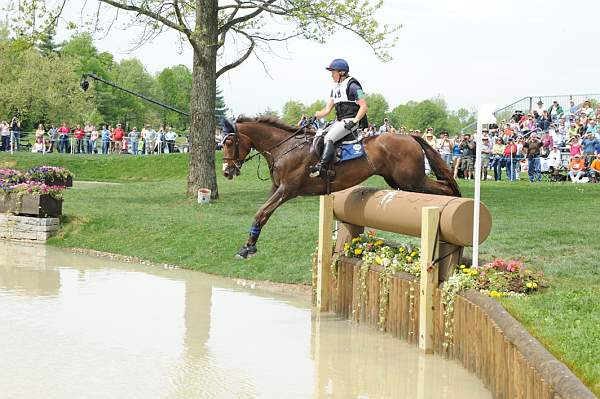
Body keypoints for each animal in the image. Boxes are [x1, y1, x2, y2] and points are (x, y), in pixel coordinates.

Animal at [223, 116, 462, 260]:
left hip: (411, 181)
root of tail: (410, 137)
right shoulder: (276, 188)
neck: (285, 148)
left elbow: (262, 213)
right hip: (399, 181)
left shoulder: (287, 190)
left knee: (445, 187)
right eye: (223, 142)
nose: (226, 171)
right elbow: (261, 213)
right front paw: (248, 245)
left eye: (229, 143)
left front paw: (247, 248)